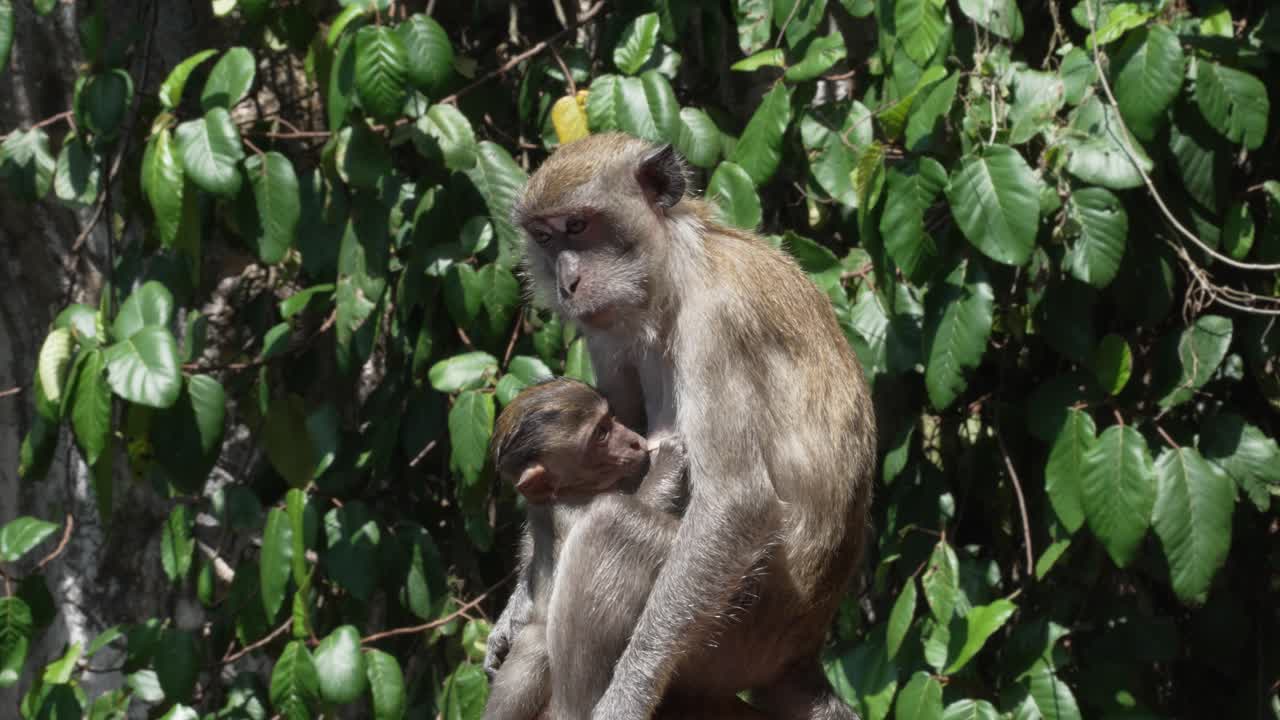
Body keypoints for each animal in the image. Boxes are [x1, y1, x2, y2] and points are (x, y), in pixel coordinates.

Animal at [483, 377, 691, 720]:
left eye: (611, 418)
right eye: (600, 435)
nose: (634, 442)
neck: (567, 491)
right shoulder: (572, 509)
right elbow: (638, 504)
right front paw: (668, 462)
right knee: (538, 643)